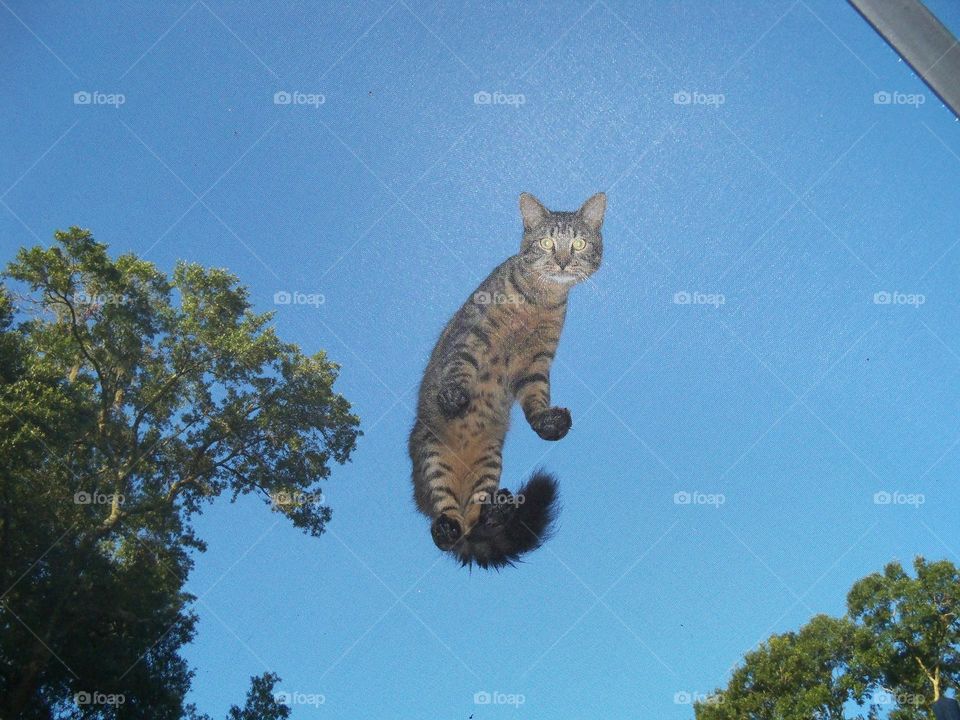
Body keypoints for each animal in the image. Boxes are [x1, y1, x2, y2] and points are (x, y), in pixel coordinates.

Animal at [406, 191, 604, 568]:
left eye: (578, 243)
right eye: (546, 243)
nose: (561, 262)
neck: (539, 300)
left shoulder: (536, 363)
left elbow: (538, 398)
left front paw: (549, 423)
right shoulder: (472, 334)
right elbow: (459, 366)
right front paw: (454, 397)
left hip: (490, 462)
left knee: (474, 519)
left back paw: (498, 510)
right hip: (431, 457)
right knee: (448, 522)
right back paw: (446, 528)